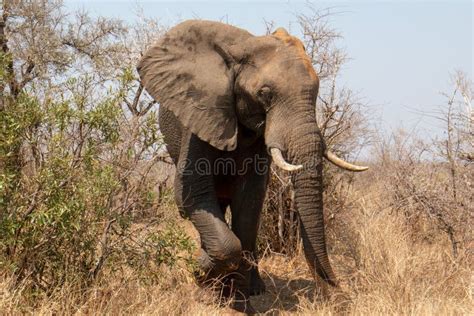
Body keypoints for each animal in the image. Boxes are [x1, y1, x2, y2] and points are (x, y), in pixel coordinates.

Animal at [137, 20, 366, 314]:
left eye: (316, 92)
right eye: (265, 94)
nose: (336, 285)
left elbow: (249, 202)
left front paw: (235, 299)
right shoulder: (201, 113)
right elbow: (190, 194)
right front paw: (203, 279)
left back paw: (255, 288)